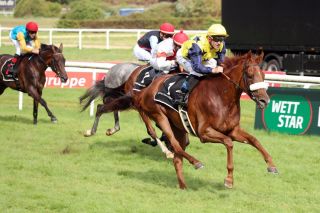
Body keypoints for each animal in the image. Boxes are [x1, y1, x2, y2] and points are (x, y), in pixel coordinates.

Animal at [97, 51, 278, 188]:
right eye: (250, 75)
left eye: (264, 75)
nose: (264, 100)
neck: (221, 96)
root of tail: (144, 91)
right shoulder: (204, 133)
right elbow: (228, 143)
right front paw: (229, 180)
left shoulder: (233, 130)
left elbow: (254, 140)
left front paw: (272, 165)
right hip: (159, 116)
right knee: (173, 144)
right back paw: (195, 162)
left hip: (178, 127)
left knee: (178, 156)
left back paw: (183, 186)